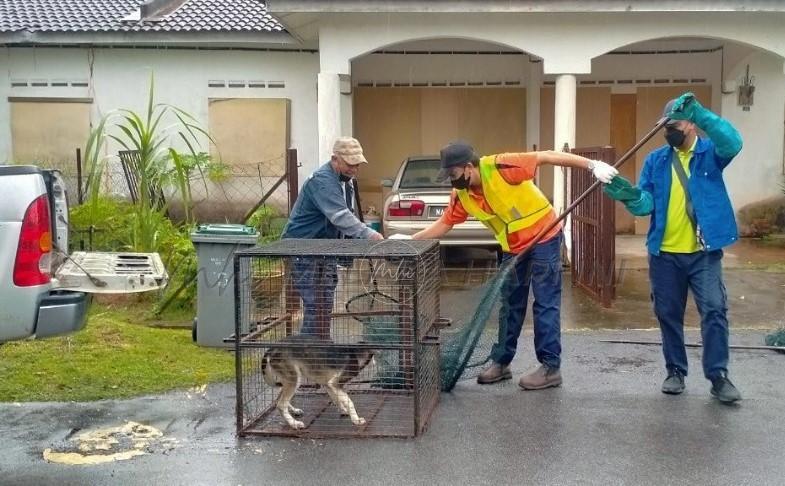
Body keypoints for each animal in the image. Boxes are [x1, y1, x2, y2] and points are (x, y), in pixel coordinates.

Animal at [231, 238, 440, 436]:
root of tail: (272, 347)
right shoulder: (336, 382)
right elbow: (350, 401)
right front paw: (356, 419)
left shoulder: (329, 384)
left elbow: (339, 399)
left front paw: (344, 411)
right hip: (293, 377)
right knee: (279, 404)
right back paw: (294, 423)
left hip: (288, 378)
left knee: (278, 399)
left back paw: (294, 411)